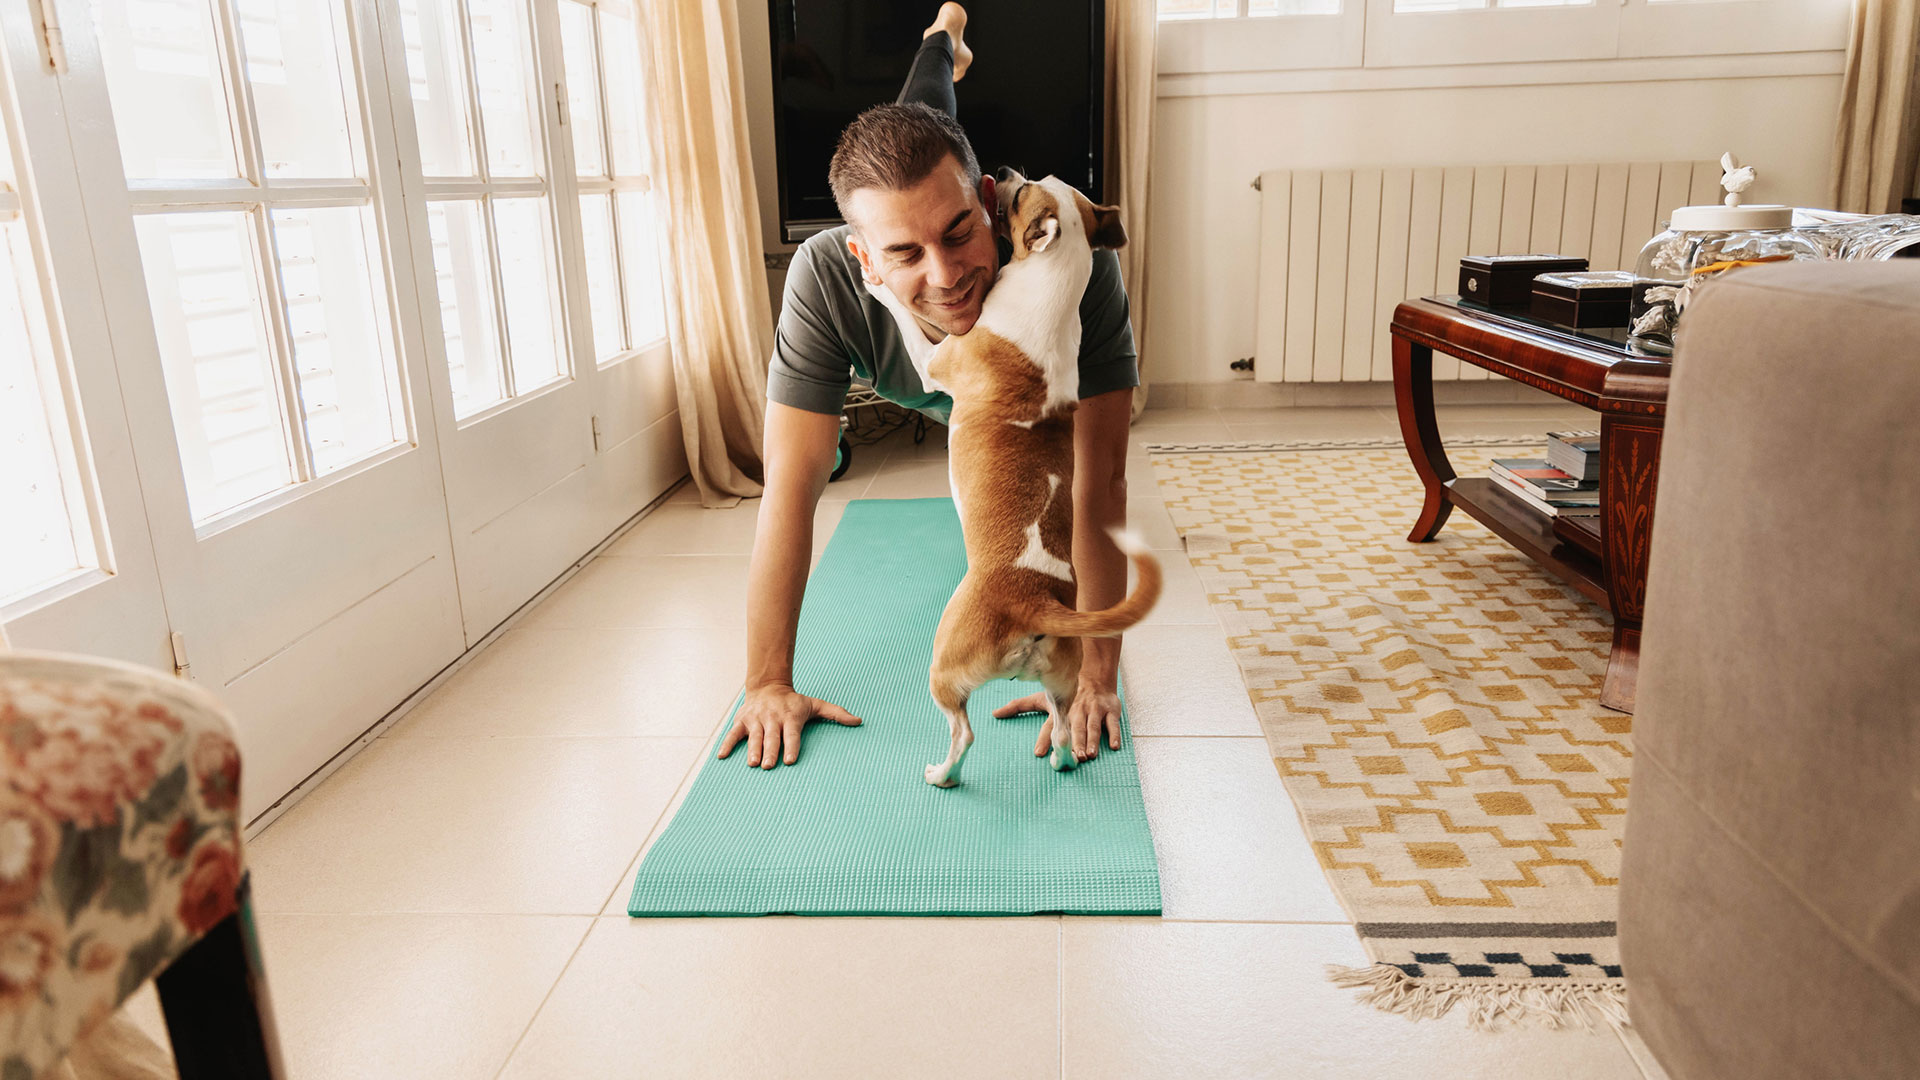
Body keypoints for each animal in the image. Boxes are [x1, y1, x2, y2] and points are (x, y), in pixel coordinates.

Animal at [921, 170, 1159, 791]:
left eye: (1025, 188)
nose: (1003, 173)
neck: (1053, 284)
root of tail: (1037, 605)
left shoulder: (937, 360)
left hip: (944, 666)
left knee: (963, 733)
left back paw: (942, 774)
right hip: (1059, 682)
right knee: (1062, 722)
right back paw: (1061, 758)